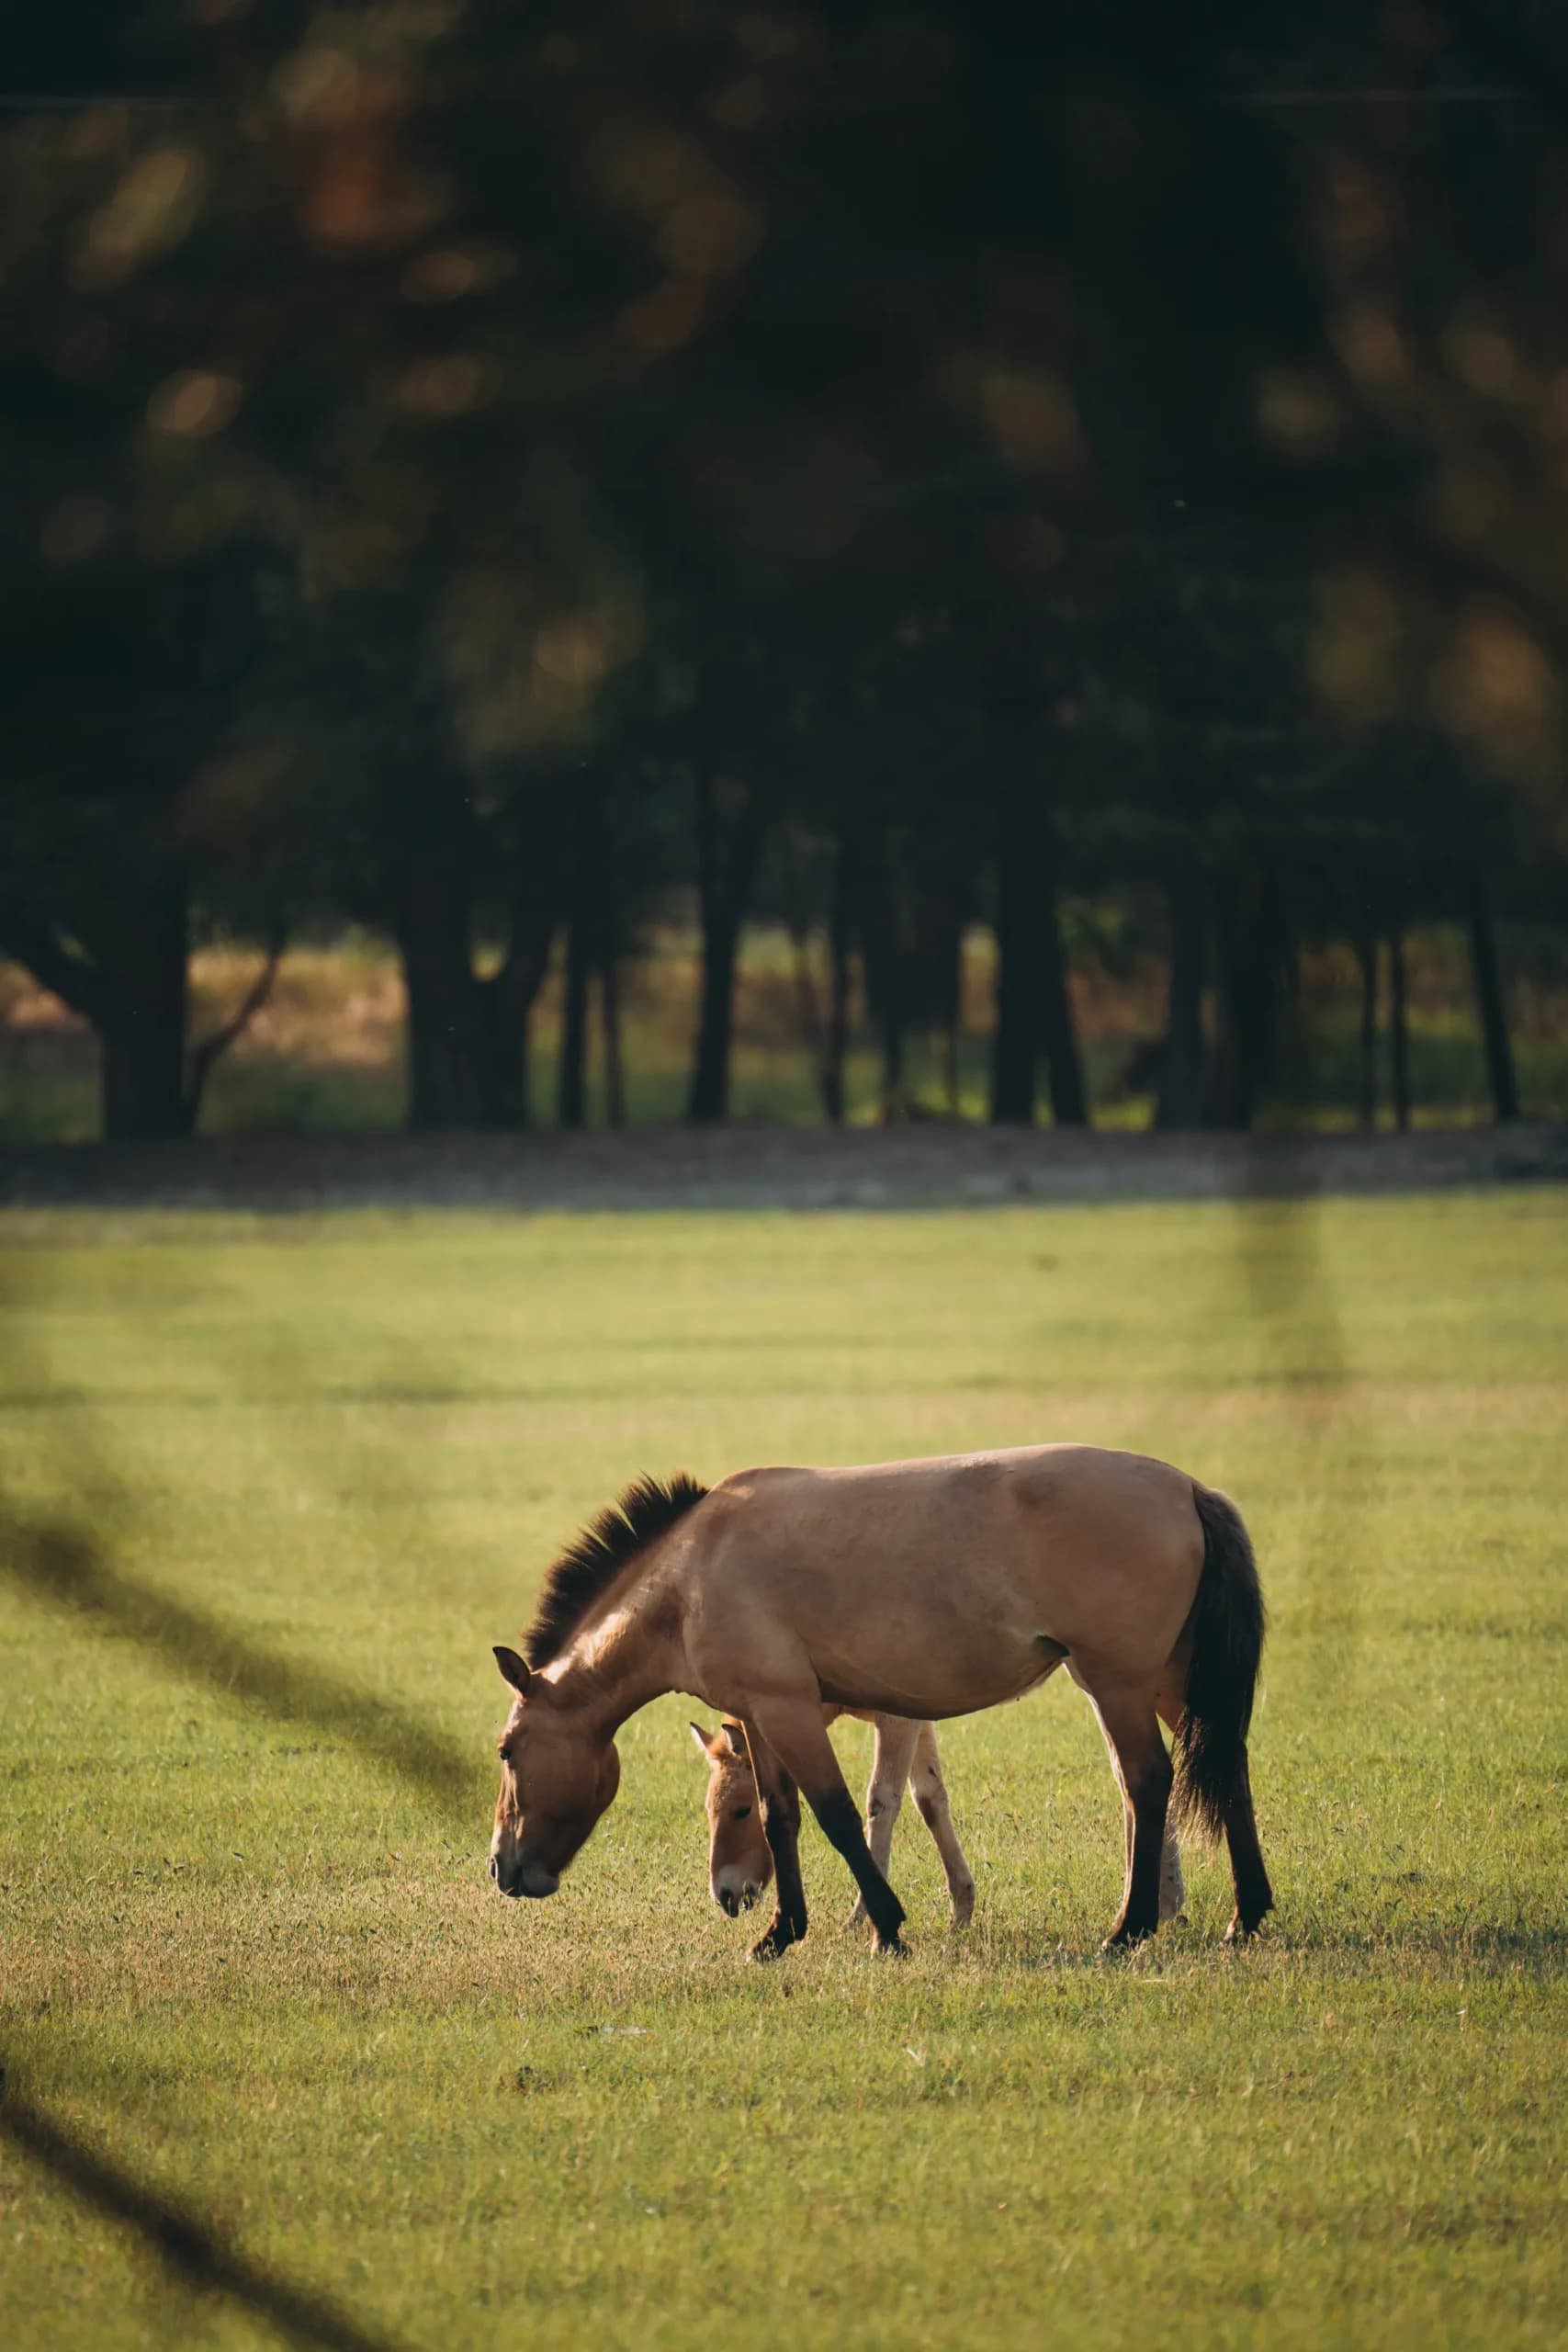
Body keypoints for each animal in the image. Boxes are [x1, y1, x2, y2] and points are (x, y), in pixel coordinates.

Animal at [689, 1713, 1188, 1932]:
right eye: (709, 1810)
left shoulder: (894, 1721)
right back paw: (1163, 1901)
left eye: (741, 1809)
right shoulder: (914, 1721)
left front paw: (861, 1916)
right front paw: (962, 1907)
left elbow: (881, 1801)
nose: (724, 1895)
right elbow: (929, 1798)